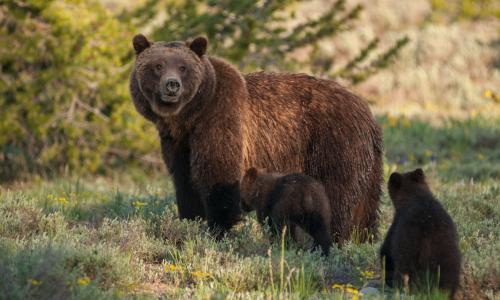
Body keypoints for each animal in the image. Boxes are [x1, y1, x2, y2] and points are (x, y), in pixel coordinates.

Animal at [129, 35, 382, 241]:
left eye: (183, 67)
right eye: (158, 65)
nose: (172, 85)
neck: (189, 117)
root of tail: (369, 115)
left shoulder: (221, 118)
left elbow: (218, 175)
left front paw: (220, 229)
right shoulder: (178, 142)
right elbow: (185, 181)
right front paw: (191, 221)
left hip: (333, 144)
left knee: (336, 195)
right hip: (367, 165)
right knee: (365, 208)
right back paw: (362, 239)